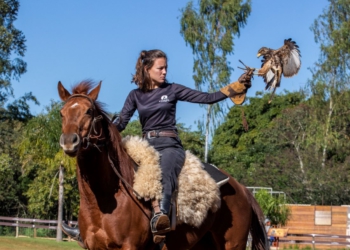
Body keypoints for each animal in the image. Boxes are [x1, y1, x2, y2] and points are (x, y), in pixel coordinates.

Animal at [57, 80, 268, 250]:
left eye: (89, 111)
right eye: (62, 113)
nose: (69, 141)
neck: (103, 199)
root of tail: (242, 189)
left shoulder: (129, 246)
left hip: (233, 244)